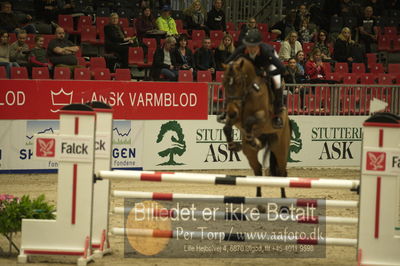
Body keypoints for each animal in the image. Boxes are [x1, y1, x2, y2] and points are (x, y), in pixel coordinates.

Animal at [222, 57, 290, 198]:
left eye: (239, 82)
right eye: (224, 83)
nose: (230, 112)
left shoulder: (263, 118)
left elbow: (249, 121)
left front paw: (253, 140)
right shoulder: (236, 118)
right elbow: (227, 127)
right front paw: (234, 146)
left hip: (280, 148)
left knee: (281, 172)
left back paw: (284, 198)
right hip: (250, 153)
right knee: (258, 169)